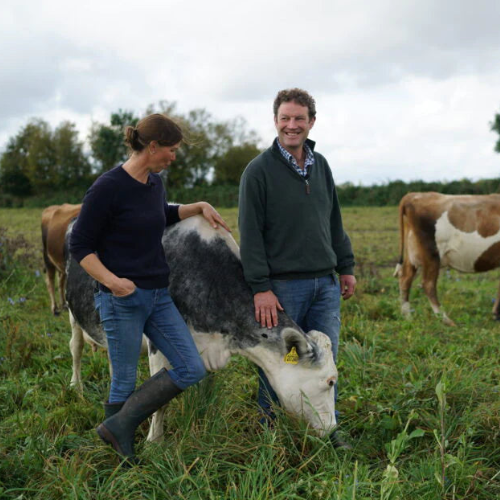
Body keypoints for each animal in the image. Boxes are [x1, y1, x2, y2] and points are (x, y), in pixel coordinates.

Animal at [64, 215, 338, 442]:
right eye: (331, 381)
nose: (332, 429)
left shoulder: (209, 348)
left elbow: (207, 388)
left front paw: (205, 419)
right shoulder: (159, 345)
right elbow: (159, 402)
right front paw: (154, 442)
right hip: (72, 312)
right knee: (75, 348)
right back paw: (76, 388)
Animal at [392, 190, 500, 324]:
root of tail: (414, 195)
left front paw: (496, 314)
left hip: (413, 252)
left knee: (405, 278)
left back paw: (408, 317)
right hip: (431, 253)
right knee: (428, 284)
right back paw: (446, 320)